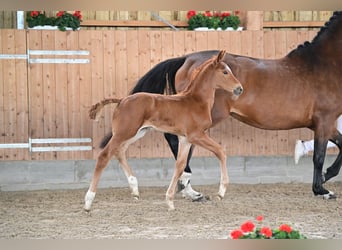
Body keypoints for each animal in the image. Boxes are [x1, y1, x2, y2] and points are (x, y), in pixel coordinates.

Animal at [85, 50, 243, 211]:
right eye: (225, 72)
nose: (239, 88)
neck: (196, 101)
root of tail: (122, 100)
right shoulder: (196, 135)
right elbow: (220, 151)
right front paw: (221, 192)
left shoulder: (185, 139)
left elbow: (180, 165)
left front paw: (170, 201)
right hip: (124, 132)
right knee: (104, 156)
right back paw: (88, 201)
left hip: (136, 132)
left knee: (120, 151)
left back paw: (134, 188)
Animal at [117, 10, 340, 200]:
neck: (323, 66)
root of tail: (186, 58)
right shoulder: (324, 120)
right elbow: (320, 155)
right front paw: (321, 189)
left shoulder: (324, 123)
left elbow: (339, 147)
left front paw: (325, 177)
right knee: (177, 140)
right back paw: (189, 188)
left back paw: (188, 189)